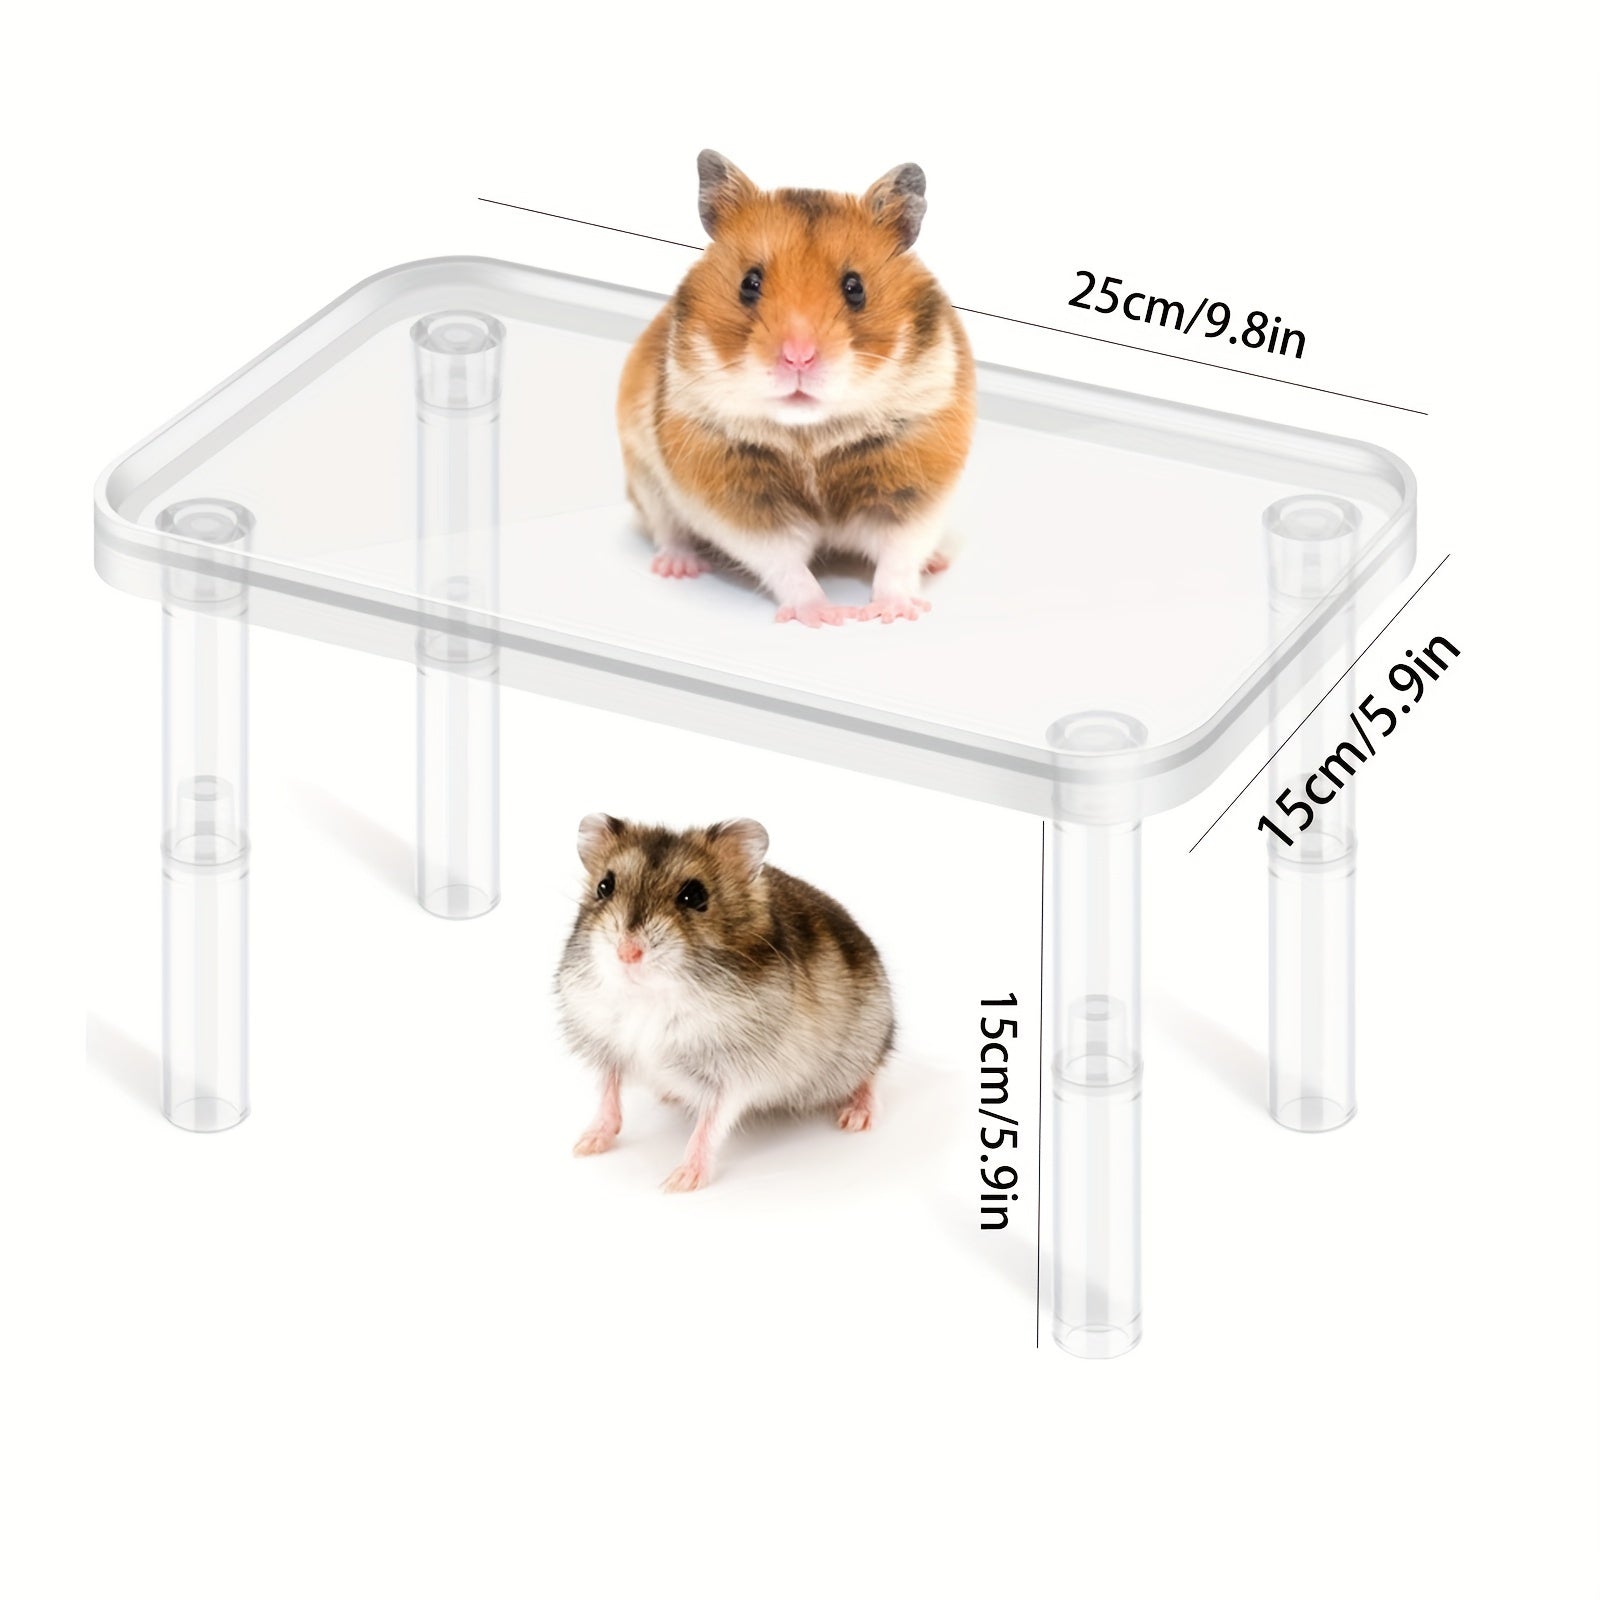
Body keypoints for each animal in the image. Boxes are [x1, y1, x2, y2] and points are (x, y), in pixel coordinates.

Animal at [555, 814, 895, 1191]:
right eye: (605, 886)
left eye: (694, 895)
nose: (627, 953)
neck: (650, 996)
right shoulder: (607, 1045)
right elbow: (608, 1094)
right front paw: (584, 1145)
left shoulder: (733, 1075)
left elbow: (710, 1124)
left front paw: (680, 1182)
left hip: (866, 1036)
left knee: (871, 1073)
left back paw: (857, 1117)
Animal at [616, 150, 976, 627]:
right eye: (749, 283)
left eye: (855, 287)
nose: (798, 358)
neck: (812, 433)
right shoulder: (738, 497)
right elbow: (784, 563)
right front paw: (827, 616)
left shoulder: (916, 482)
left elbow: (899, 555)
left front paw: (893, 613)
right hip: (644, 478)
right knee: (668, 529)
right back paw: (678, 567)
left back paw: (937, 561)